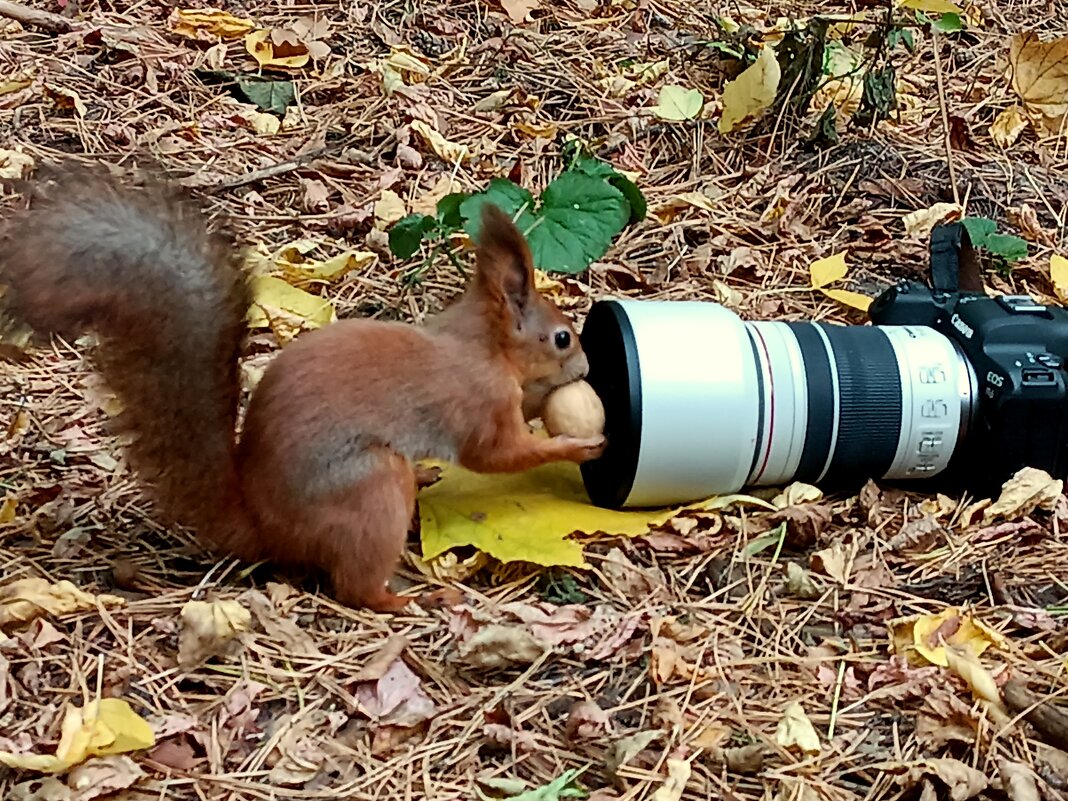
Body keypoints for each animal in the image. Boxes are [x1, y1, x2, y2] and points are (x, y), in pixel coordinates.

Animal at [0, 164, 606, 615]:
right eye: (561, 337)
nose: (584, 367)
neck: (483, 345)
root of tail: (264, 527)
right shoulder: (481, 403)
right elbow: (497, 456)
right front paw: (576, 445)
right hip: (371, 488)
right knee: (354, 586)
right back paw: (405, 598)